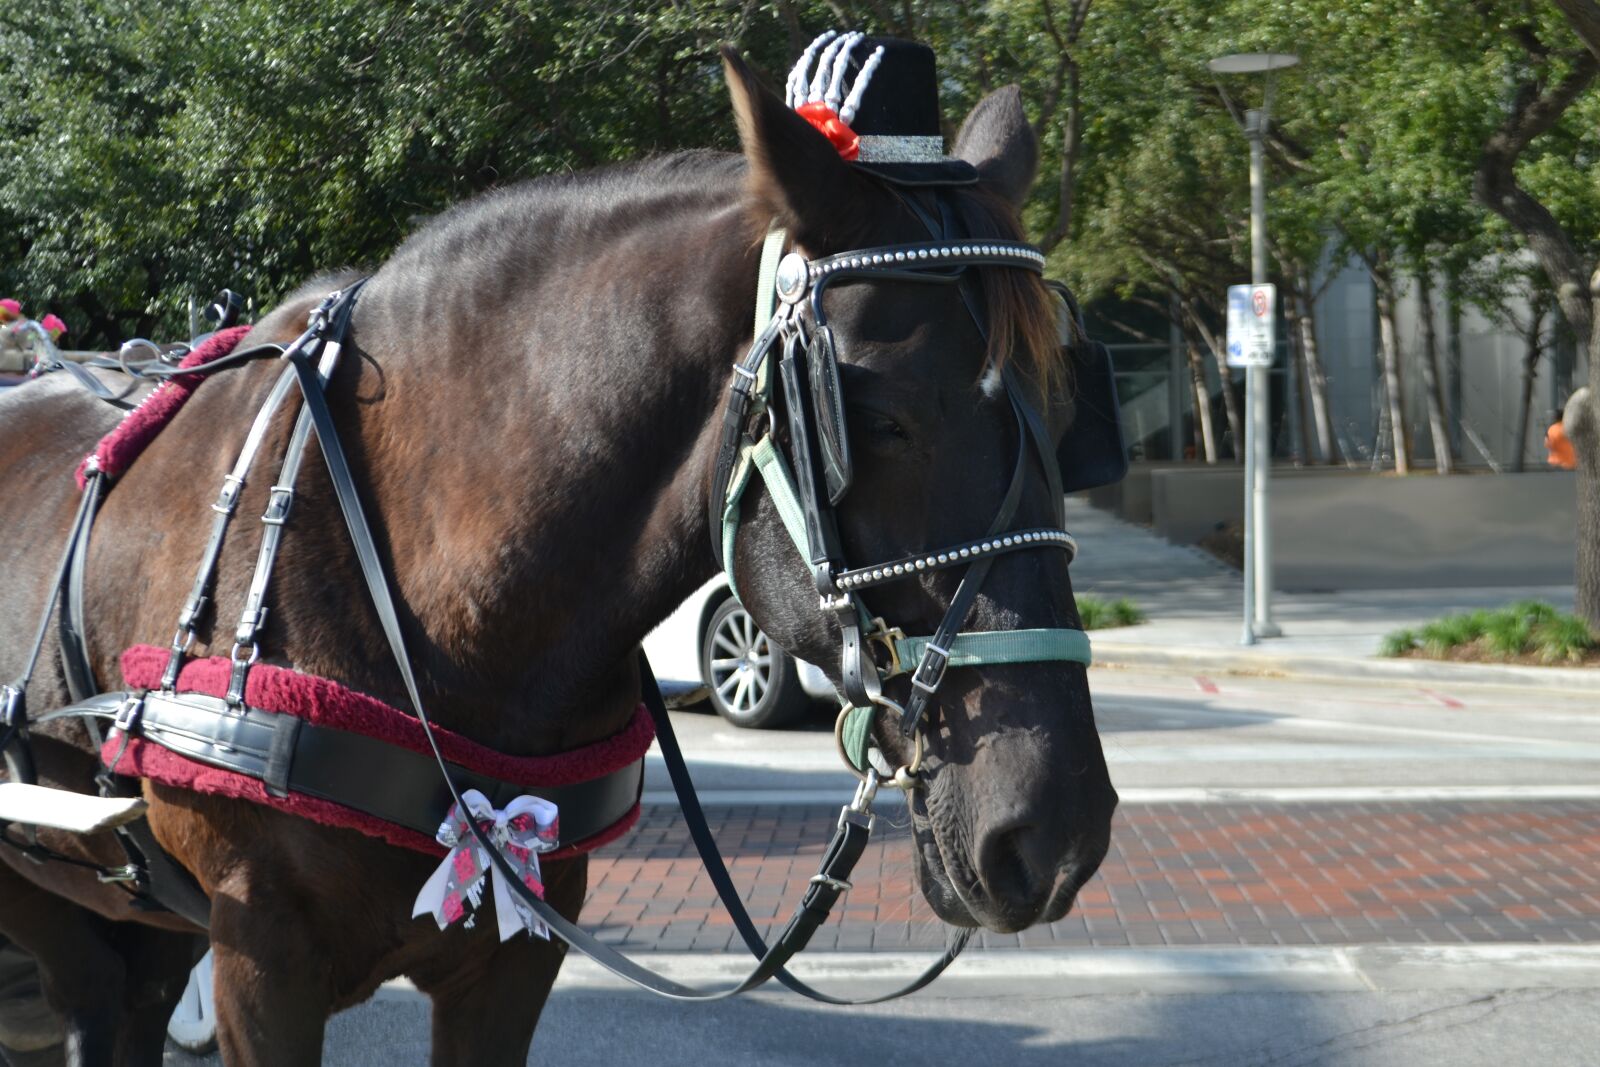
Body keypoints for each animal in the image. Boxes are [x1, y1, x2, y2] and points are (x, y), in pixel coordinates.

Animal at [0, 50, 1117, 1065]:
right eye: (877, 419)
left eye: (1066, 411)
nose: (1051, 829)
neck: (440, 612)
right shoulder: (258, 962)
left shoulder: (516, 953)